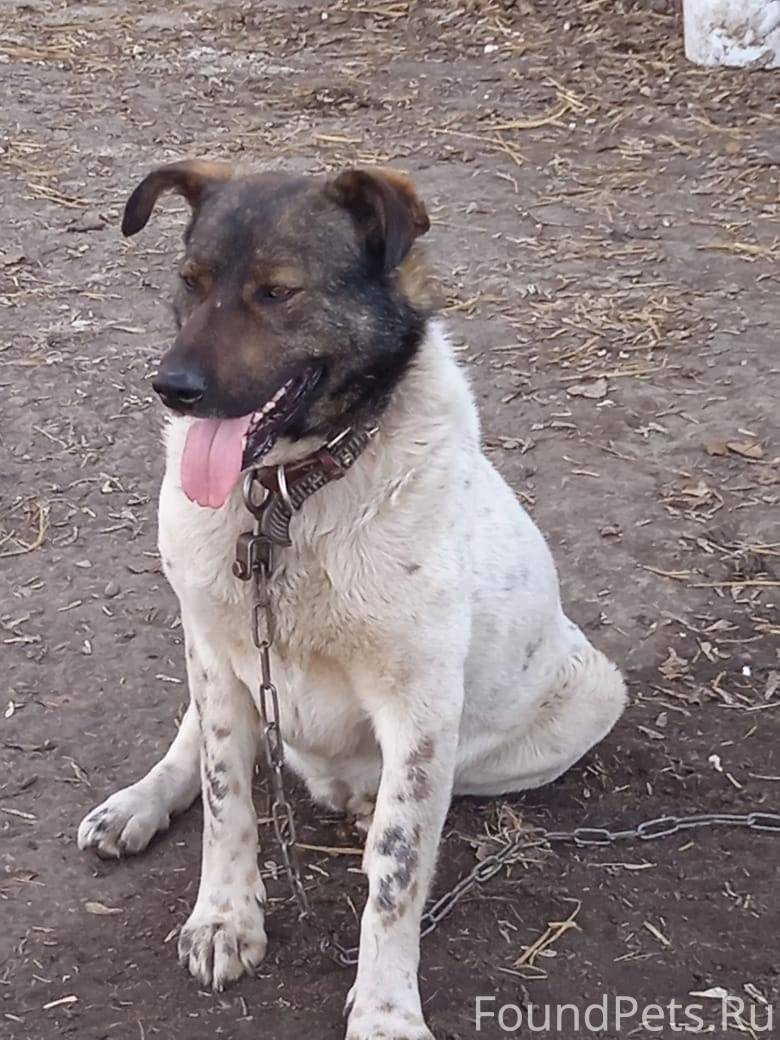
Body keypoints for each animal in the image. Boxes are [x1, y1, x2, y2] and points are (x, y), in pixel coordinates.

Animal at [78, 160, 626, 1040]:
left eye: (276, 292)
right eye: (190, 282)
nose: (172, 388)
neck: (285, 498)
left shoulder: (421, 709)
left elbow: (396, 871)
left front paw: (386, 1009)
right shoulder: (218, 651)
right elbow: (227, 797)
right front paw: (225, 916)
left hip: (585, 699)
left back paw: (358, 798)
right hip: (210, 652)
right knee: (196, 742)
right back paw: (138, 803)